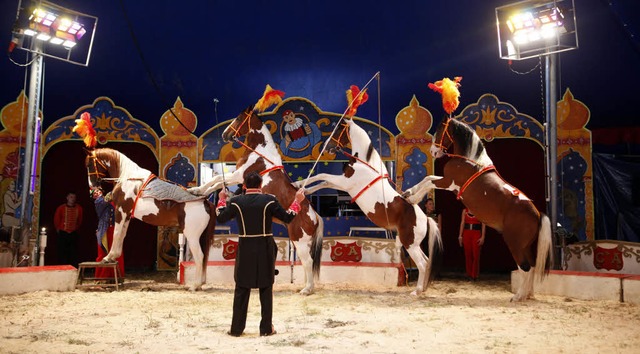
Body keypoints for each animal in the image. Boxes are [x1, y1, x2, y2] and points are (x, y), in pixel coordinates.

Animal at [85, 149, 216, 290]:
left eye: (89, 164)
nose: (92, 186)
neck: (129, 178)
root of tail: (205, 201)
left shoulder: (121, 210)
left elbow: (116, 233)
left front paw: (108, 257)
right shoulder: (127, 215)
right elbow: (122, 235)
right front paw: (115, 256)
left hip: (192, 236)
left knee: (199, 256)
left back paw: (194, 286)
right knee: (203, 257)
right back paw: (200, 284)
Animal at [188, 106, 322, 294]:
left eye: (238, 118)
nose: (225, 134)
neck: (260, 154)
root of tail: (315, 216)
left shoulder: (239, 175)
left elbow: (216, 180)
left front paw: (196, 190)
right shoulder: (238, 177)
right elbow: (217, 182)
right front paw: (200, 192)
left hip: (299, 239)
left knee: (308, 261)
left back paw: (307, 290)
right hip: (304, 242)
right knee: (306, 262)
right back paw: (306, 287)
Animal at [292, 117, 442, 296]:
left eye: (337, 129)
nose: (326, 147)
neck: (364, 164)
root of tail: (426, 219)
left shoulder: (345, 182)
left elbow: (322, 175)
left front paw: (299, 184)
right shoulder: (343, 183)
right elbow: (324, 182)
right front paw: (303, 188)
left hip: (410, 243)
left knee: (422, 263)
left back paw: (416, 291)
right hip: (414, 244)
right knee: (426, 261)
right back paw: (423, 288)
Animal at [402, 117, 552, 302]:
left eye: (440, 129)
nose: (433, 151)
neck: (468, 160)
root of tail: (537, 214)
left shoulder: (448, 182)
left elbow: (429, 181)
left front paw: (412, 198)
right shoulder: (447, 182)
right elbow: (428, 178)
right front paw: (409, 192)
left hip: (515, 244)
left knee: (525, 268)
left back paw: (518, 296)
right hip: (525, 246)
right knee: (531, 267)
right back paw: (528, 294)